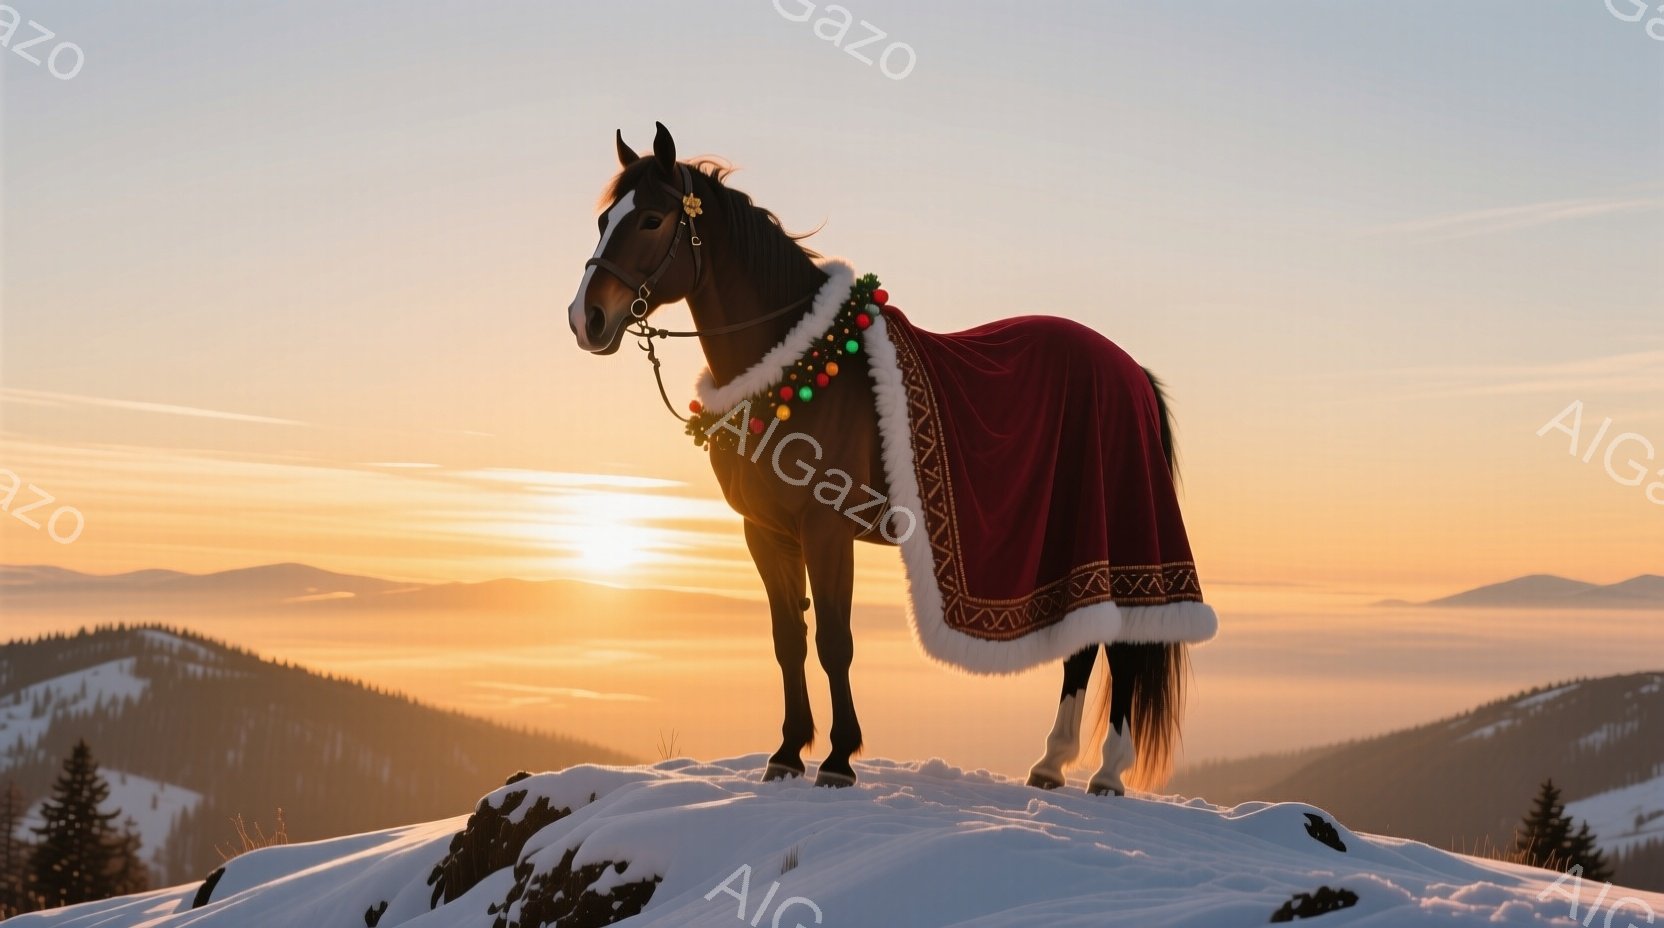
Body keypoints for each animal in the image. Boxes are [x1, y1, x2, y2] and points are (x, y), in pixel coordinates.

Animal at [568, 122, 1201, 794]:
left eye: (652, 219)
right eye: (605, 218)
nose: (587, 318)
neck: (796, 368)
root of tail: (1130, 370)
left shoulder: (825, 530)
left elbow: (834, 641)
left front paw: (839, 759)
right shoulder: (765, 532)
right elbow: (788, 640)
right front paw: (787, 753)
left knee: (1124, 646)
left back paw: (1106, 773)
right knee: (1083, 644)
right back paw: (1050, 764)